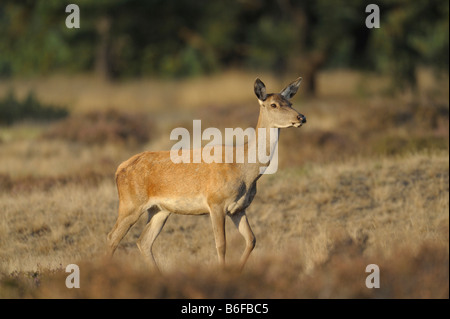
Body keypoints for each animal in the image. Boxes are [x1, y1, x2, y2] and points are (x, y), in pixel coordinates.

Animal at [107, 76, 308, 272]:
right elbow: (221, 244)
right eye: (273, 104)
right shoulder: (215, 202)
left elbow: (252, 239)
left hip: (160, 209)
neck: (243, 170)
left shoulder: (239, 208)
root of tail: (118, 169)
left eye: (290, 102)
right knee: (112, 237)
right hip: (130, 204)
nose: (302, 117)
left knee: (143, 241)